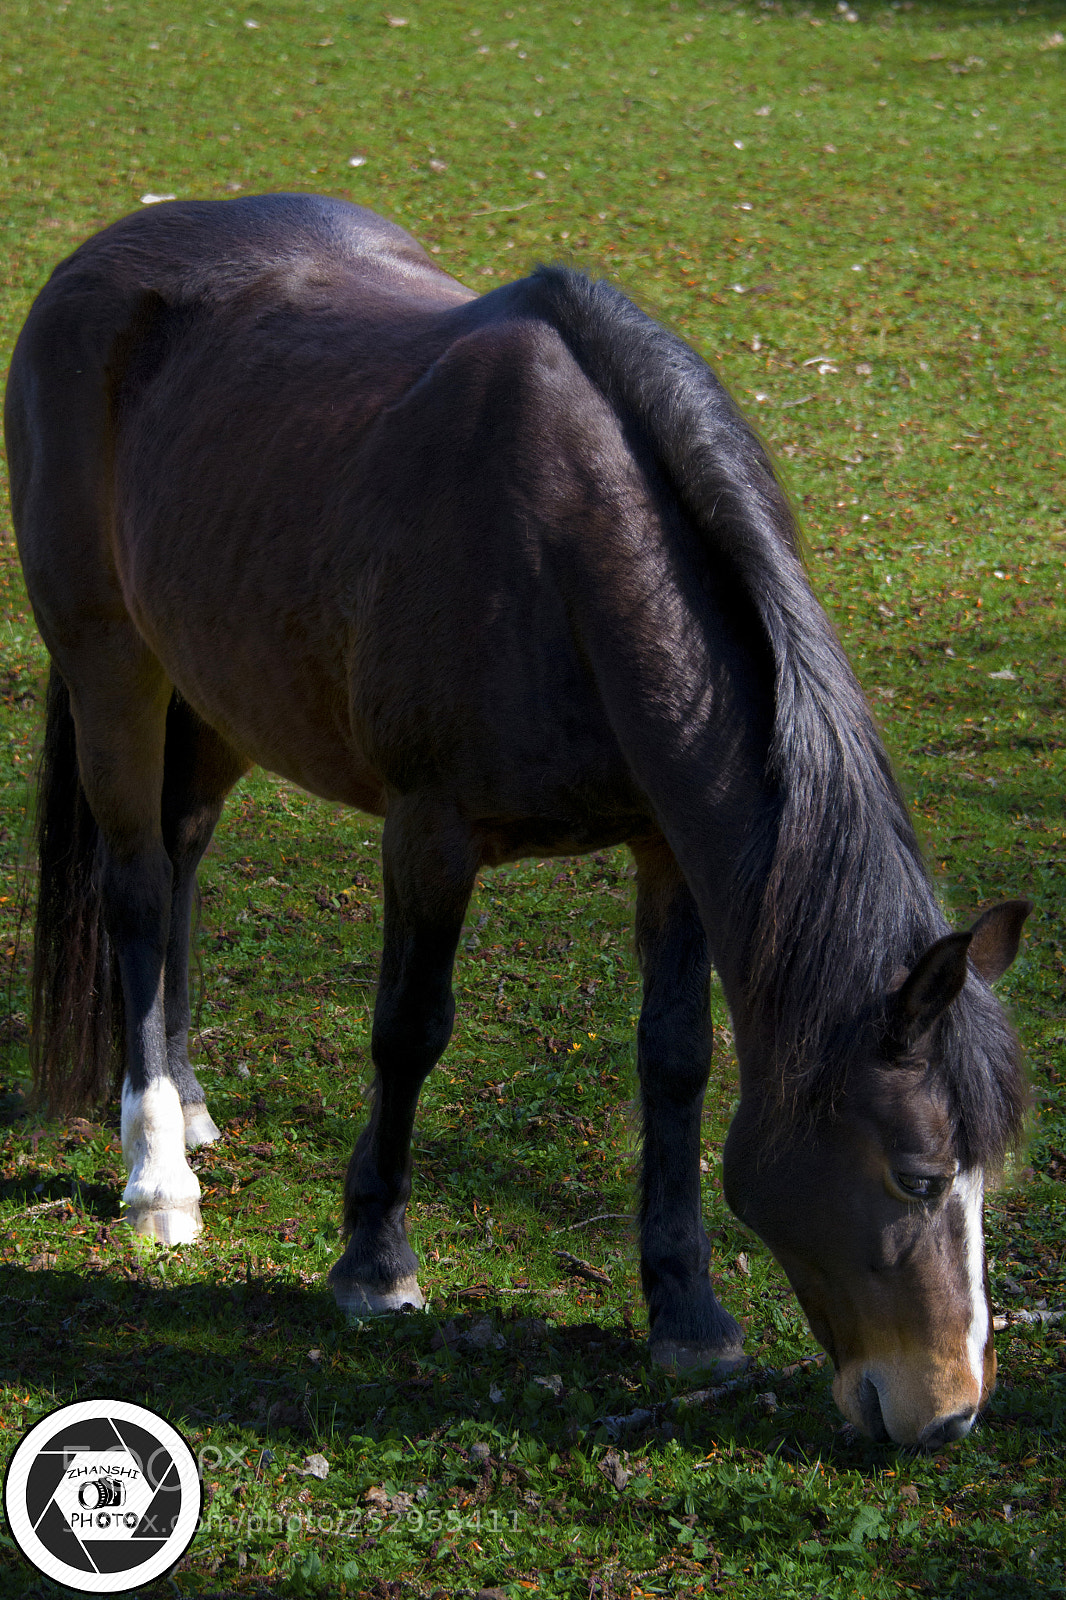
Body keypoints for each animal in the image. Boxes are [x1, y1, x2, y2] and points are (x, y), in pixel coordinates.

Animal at [5, 193, 1030, 1447]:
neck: (567, 556)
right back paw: (158, 1171)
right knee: (141, 887)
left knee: (186, 853)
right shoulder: (429, 834)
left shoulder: (667, 853)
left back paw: (190, 1105)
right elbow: (409, 1030)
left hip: (220, 683)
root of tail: (97, 258)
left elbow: (675, 1059)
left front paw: (688, 1313)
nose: (949, 1413)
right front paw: (374, 1262)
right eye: (918, 1175)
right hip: (114, 666)